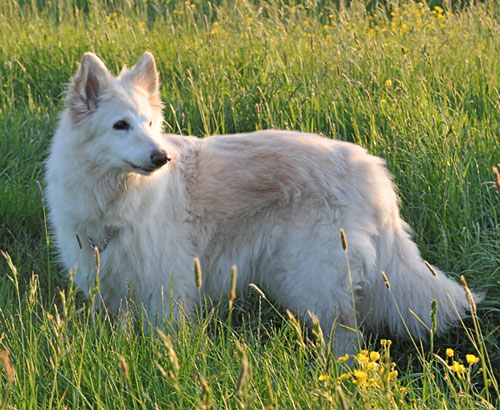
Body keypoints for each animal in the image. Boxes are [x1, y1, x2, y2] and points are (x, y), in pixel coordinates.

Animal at [46, 52, 472, 356]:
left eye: (149, 124)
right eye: (121, 126)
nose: (161, 157)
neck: (114, 196)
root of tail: (368, 165)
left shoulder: (166, 290)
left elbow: (163, 342)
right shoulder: (110, 290)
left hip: (314, 279)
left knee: (346, 336)